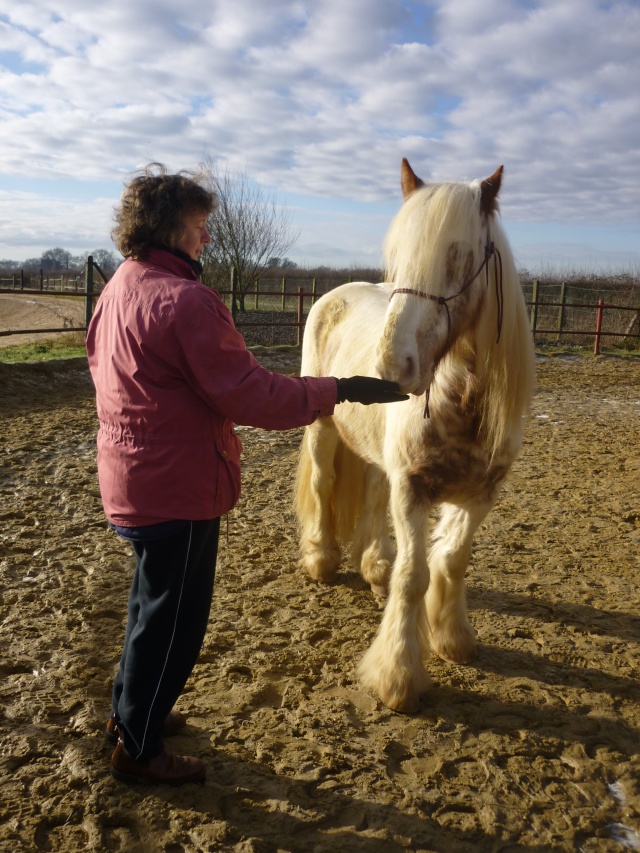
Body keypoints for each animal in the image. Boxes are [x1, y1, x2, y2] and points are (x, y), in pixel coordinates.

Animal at [296, 160, 536, 712]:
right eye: (398, 256)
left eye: (459, 254)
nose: (391, 366)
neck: (462, 401)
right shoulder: (412, 490)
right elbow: (414, 576)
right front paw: (398, 677)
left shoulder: (481, 493)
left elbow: (452, 559)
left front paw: (453, 637)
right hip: (322, 430)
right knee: (322, 485)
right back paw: (322, 560)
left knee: (370, 496)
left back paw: (374, 564)